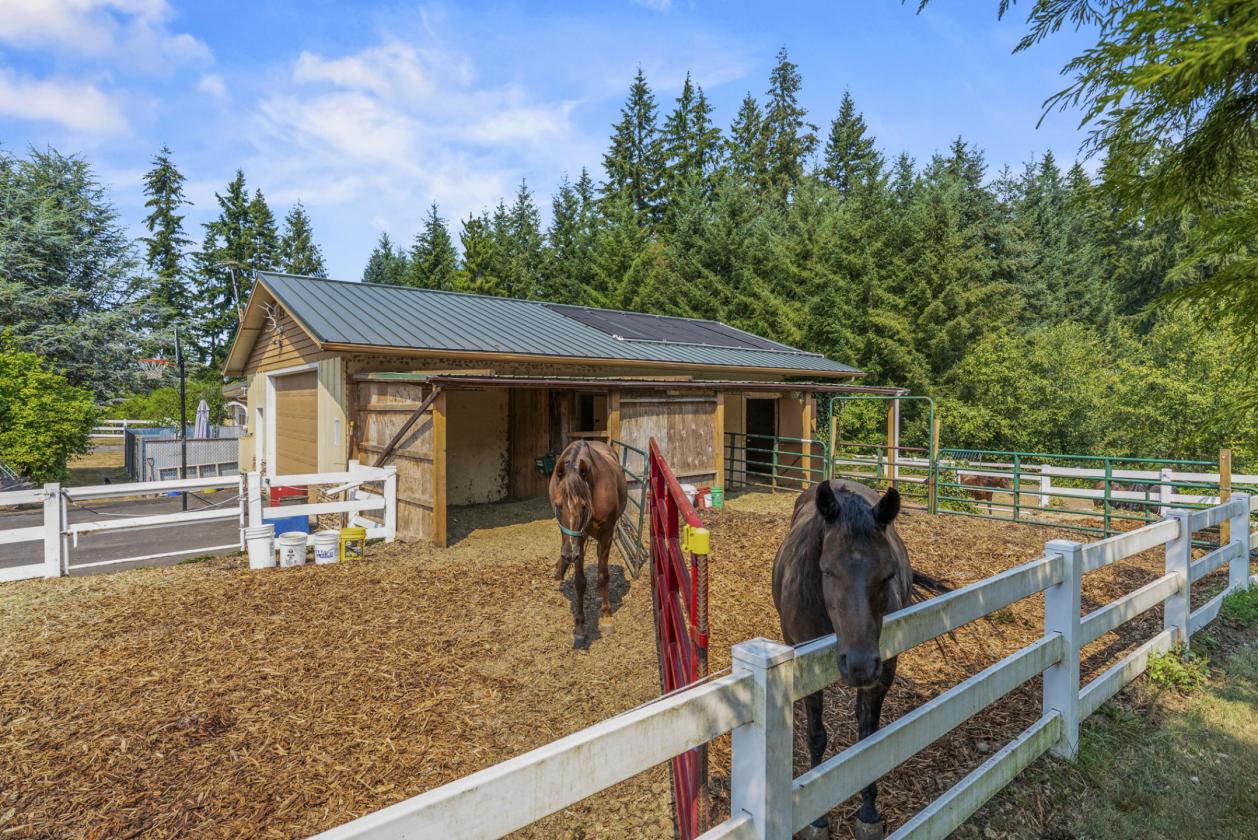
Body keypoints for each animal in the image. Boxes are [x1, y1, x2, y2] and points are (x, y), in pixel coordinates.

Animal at [548, 439, 628, 648]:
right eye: (558, 506)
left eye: (583, 506)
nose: (568, 555)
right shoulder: (579, 539)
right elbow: (579, 582)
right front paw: (579, 627)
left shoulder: (606, 535)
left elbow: (603, 576)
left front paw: (607, 618)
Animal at [773, 479, 948, 840]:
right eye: (827, 571)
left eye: (888, 574)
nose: (860, 665)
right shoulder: (807, 674)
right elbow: (816, 735)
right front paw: (818, 819)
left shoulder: (884, 668)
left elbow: (868, 738)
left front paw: (868, 813)